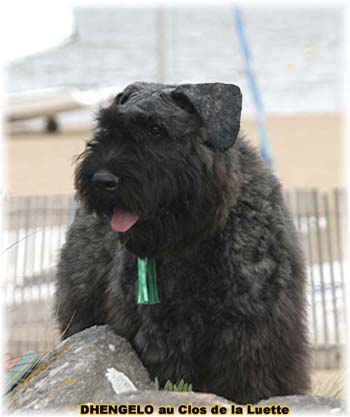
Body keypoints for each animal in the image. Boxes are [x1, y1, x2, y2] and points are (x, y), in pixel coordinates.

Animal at [56, 81, 310, 404]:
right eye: (105, 128)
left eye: (156, 129)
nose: (102, 180)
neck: (198, 242)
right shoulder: (163, 338)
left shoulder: (255, 337)